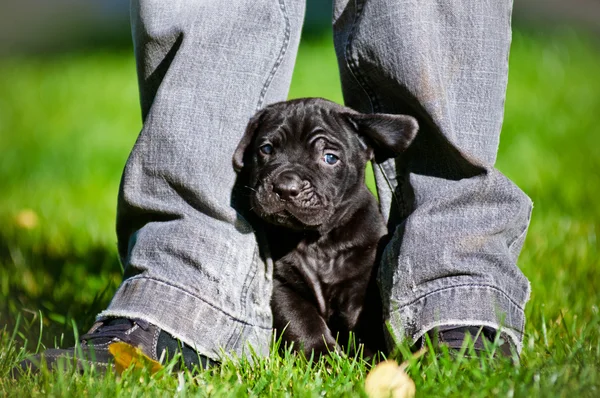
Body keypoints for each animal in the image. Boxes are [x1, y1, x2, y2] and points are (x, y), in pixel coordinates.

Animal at [232, 97, 420, 358]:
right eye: (267, 149)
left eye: (330, 158)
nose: (285, 187)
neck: (318, 241)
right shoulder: (283, 287)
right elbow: (303, 322)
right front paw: (323, 356)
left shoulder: (361, 287)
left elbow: (364, 324)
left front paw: (369, 358)